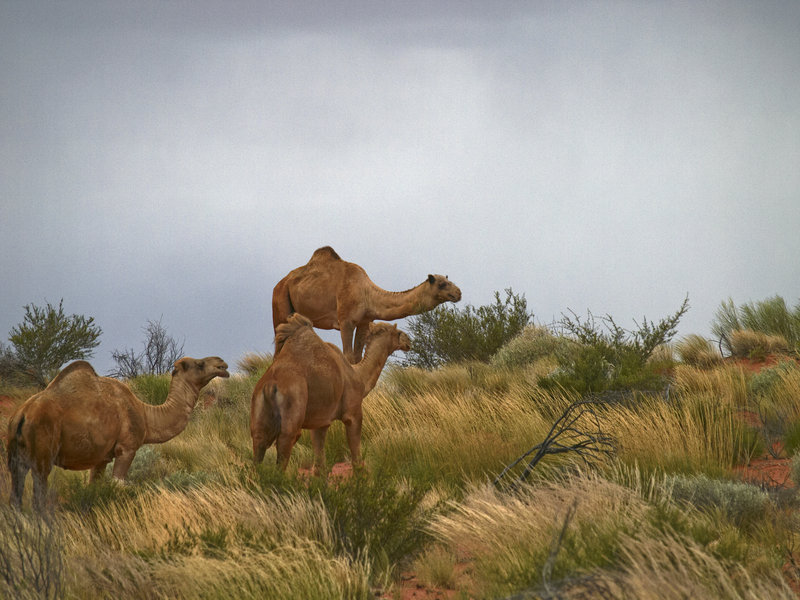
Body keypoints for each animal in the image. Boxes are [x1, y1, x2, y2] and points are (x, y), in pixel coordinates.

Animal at [6, 356, 229, 508]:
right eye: (199, 364)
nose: (222, 364)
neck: (145, 415)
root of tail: (21, 415)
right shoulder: (126, 449)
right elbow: (119, 484)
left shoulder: (100, 458)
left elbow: (94, 486)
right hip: (42, 454)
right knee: (38, 493)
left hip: (15, 456)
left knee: (15, 492)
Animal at [251, 313, 410, 474]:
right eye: (397, 332)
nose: (408, 340)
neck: (358, 376)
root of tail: (270, 385)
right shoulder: (353, 413)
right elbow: (356, 459)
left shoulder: (320, 422)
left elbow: (320, 466)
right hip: (293, 403)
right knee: (285, 441)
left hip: (259, 406)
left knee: (259, 441)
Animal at [272, 246, 460, 363]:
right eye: (441, 284)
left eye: (448, 280)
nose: (458, 293)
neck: (367, 294)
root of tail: (280, 283)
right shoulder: (345, 321)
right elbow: (348, 356)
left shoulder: (364, 322)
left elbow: (357, 357)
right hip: (279, 304)